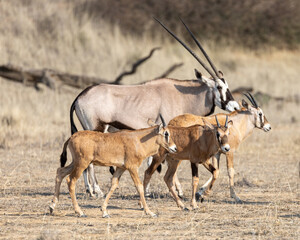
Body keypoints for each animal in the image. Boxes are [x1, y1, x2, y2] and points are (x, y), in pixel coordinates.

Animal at [48, 115, 176, 218]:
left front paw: (104, 211)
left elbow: (113, 184)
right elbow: (139, 186)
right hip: (82, 164)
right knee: (71, 180)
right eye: (166, 133)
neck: (138, 140)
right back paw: (80, 212)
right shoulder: (132, 167)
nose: (174, 148)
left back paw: (52, 206)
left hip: (76, 163)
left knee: (60, 172)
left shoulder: (121, 168)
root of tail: (72, 137)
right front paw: (150, 212)